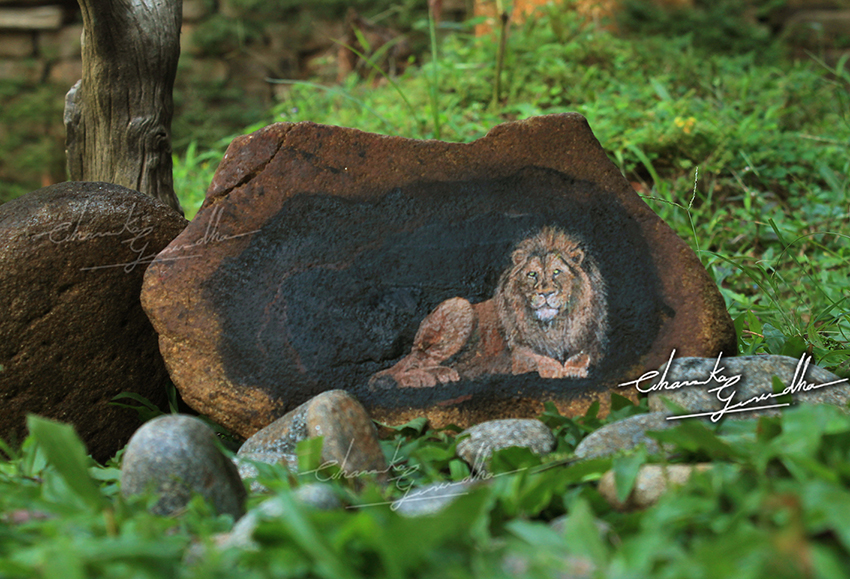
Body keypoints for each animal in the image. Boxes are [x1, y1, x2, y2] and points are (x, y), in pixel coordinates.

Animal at [368, 226, 608, 389]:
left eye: (557, 272)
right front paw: (556, 369)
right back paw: (430, 376)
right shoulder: (519, 353)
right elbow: (541, 358)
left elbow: (581, 356)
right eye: (532, 274)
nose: (546, 293)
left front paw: (574, 369)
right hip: (459, 306)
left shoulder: (589, 343)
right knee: (407, 366)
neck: (553, 324)